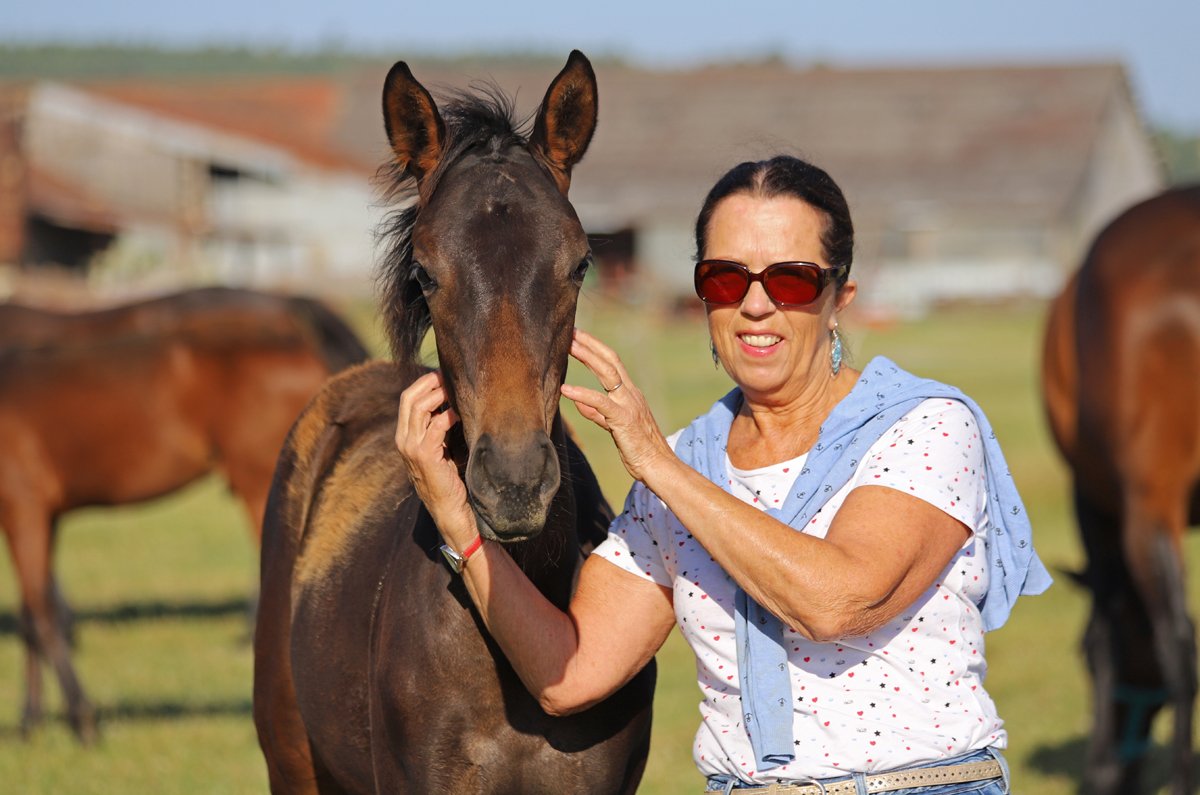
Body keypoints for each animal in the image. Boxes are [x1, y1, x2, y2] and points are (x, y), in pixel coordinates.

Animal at [0, 287, 370, 744]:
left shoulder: (24, 509)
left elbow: (44, 615)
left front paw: (82, 720)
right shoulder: (38, 516)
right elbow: (32, 617)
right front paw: (29, 721)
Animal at [1042, 184, 1200, 794]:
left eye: (1079, 656)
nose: (1108, 777)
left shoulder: (1099, 507)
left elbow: (1117, 632)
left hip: (1146, 507)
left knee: (1178, 643)